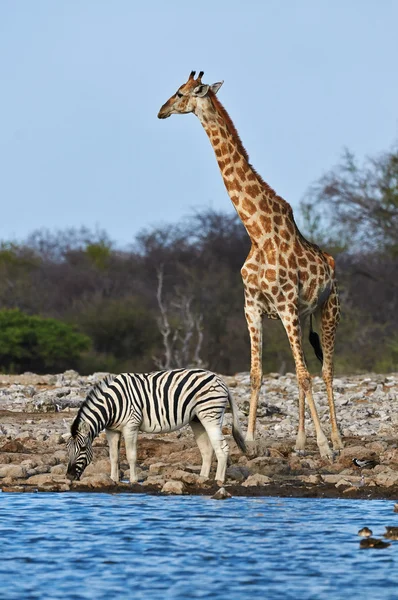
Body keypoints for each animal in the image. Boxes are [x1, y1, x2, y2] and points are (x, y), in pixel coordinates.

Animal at [65, 368, 246, 486]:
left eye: (83, 448)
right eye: (68, 449)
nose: (69, 477)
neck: (112, 405)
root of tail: (219, 379)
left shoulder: (131, 425)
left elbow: (131, 456)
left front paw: (133, 481)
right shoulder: (112, 430)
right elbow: (114, 456)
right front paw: (113, 479)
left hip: (210, 415)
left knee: (222, 448)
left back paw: (219, 480)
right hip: (197, 420)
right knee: (207, 451)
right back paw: (202, 479)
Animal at [157, 72, 344, 458]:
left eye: (180, 93)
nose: (161, 111)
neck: (258, 232)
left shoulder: (285, 305)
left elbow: (305, 375)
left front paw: (323, 446)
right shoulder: (253, 307)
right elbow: (258, 374)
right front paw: (252, 441)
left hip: (328, 312)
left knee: (325, 372)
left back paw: (334, 440)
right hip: (303, 317)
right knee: (304, 371)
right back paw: (300, 441)